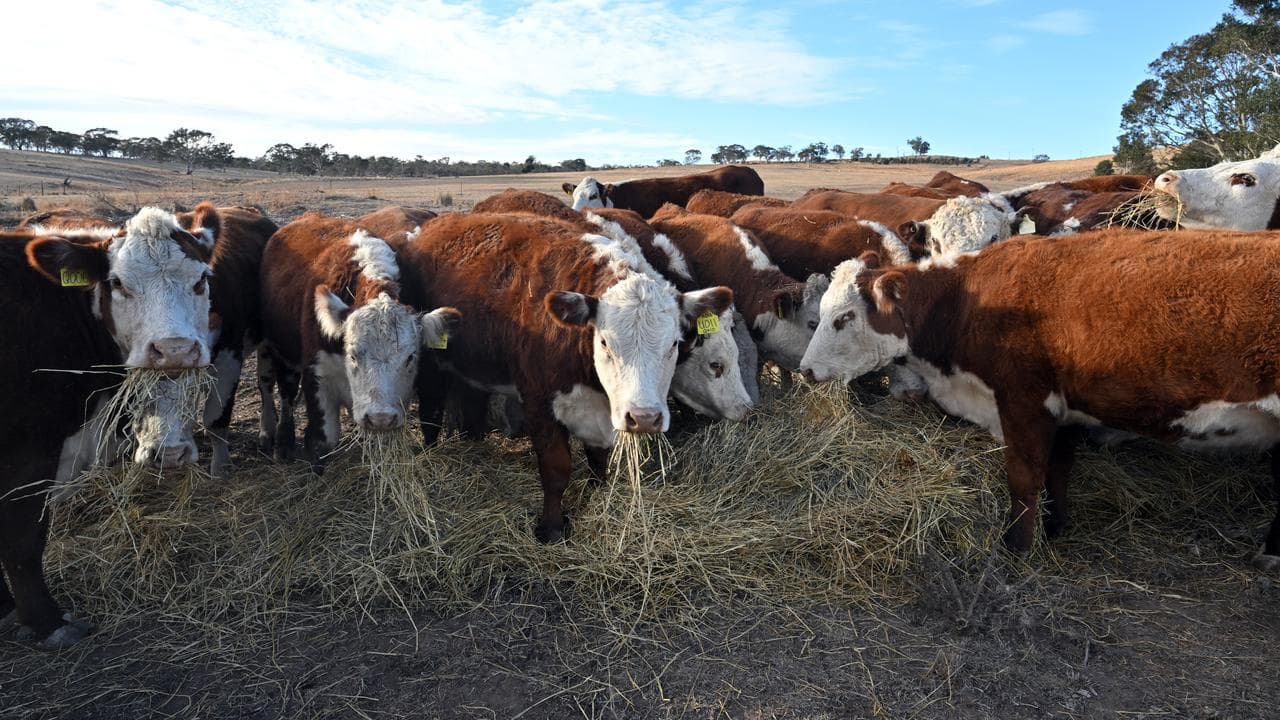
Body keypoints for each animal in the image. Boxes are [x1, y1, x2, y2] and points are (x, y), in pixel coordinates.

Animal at [2, 206, 222, 648]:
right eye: (117, 283)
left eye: (201, 280)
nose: (174, 350)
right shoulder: (28, 452)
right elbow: (23, 540)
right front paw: (47, 622)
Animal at [259, 213, 459, 469]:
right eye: (352, 355)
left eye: (410, 357)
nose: (380, 418)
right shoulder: (317, 375)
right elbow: (322, 441)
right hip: (281, 352)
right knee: (286, 393)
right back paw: (283, 442)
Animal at [397, 212, 734, 543]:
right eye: (604, 342)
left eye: (674, 344)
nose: (644, 418)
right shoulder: (539, 403)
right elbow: (556, 468)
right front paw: (551, 527)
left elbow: (598, 459)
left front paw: (597, 493)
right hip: (431, 363)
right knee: (431, 408)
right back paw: (431, 450)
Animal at [799, 229, 1280, 569]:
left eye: (844, 318)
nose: (805, 370)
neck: (967, 301)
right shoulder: (1065, 410)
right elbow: (1058, 474)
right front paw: (1054, 526)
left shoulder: (1023, 402)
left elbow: (1025, 478)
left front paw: (1017, 546)